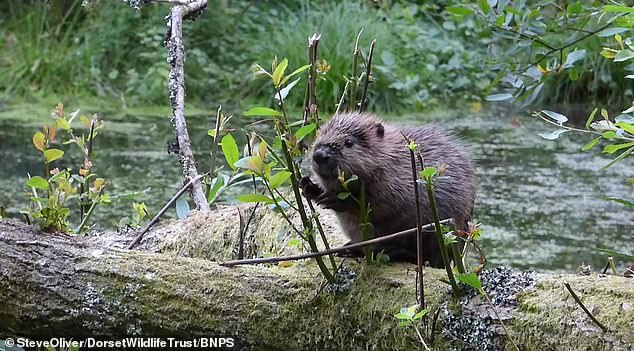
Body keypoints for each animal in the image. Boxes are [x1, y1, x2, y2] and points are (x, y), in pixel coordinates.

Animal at [300, 111, 474, 268]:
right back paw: (348, 249)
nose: (319, 155)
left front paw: (334, 199)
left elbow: (382, 203)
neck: (392, 156)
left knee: (430, 259)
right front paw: (307, 185)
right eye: (320, 134)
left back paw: (393, 252)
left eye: (349, 142)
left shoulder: (403, 179)